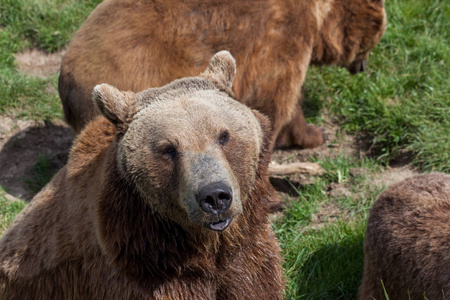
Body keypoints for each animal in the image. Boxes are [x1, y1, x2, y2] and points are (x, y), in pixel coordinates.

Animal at [58, 0, 384, 150]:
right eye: (378, 34)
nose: (365, 66)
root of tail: (65, 84)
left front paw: (316, 132)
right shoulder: (281, 36)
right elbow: (275, 101)